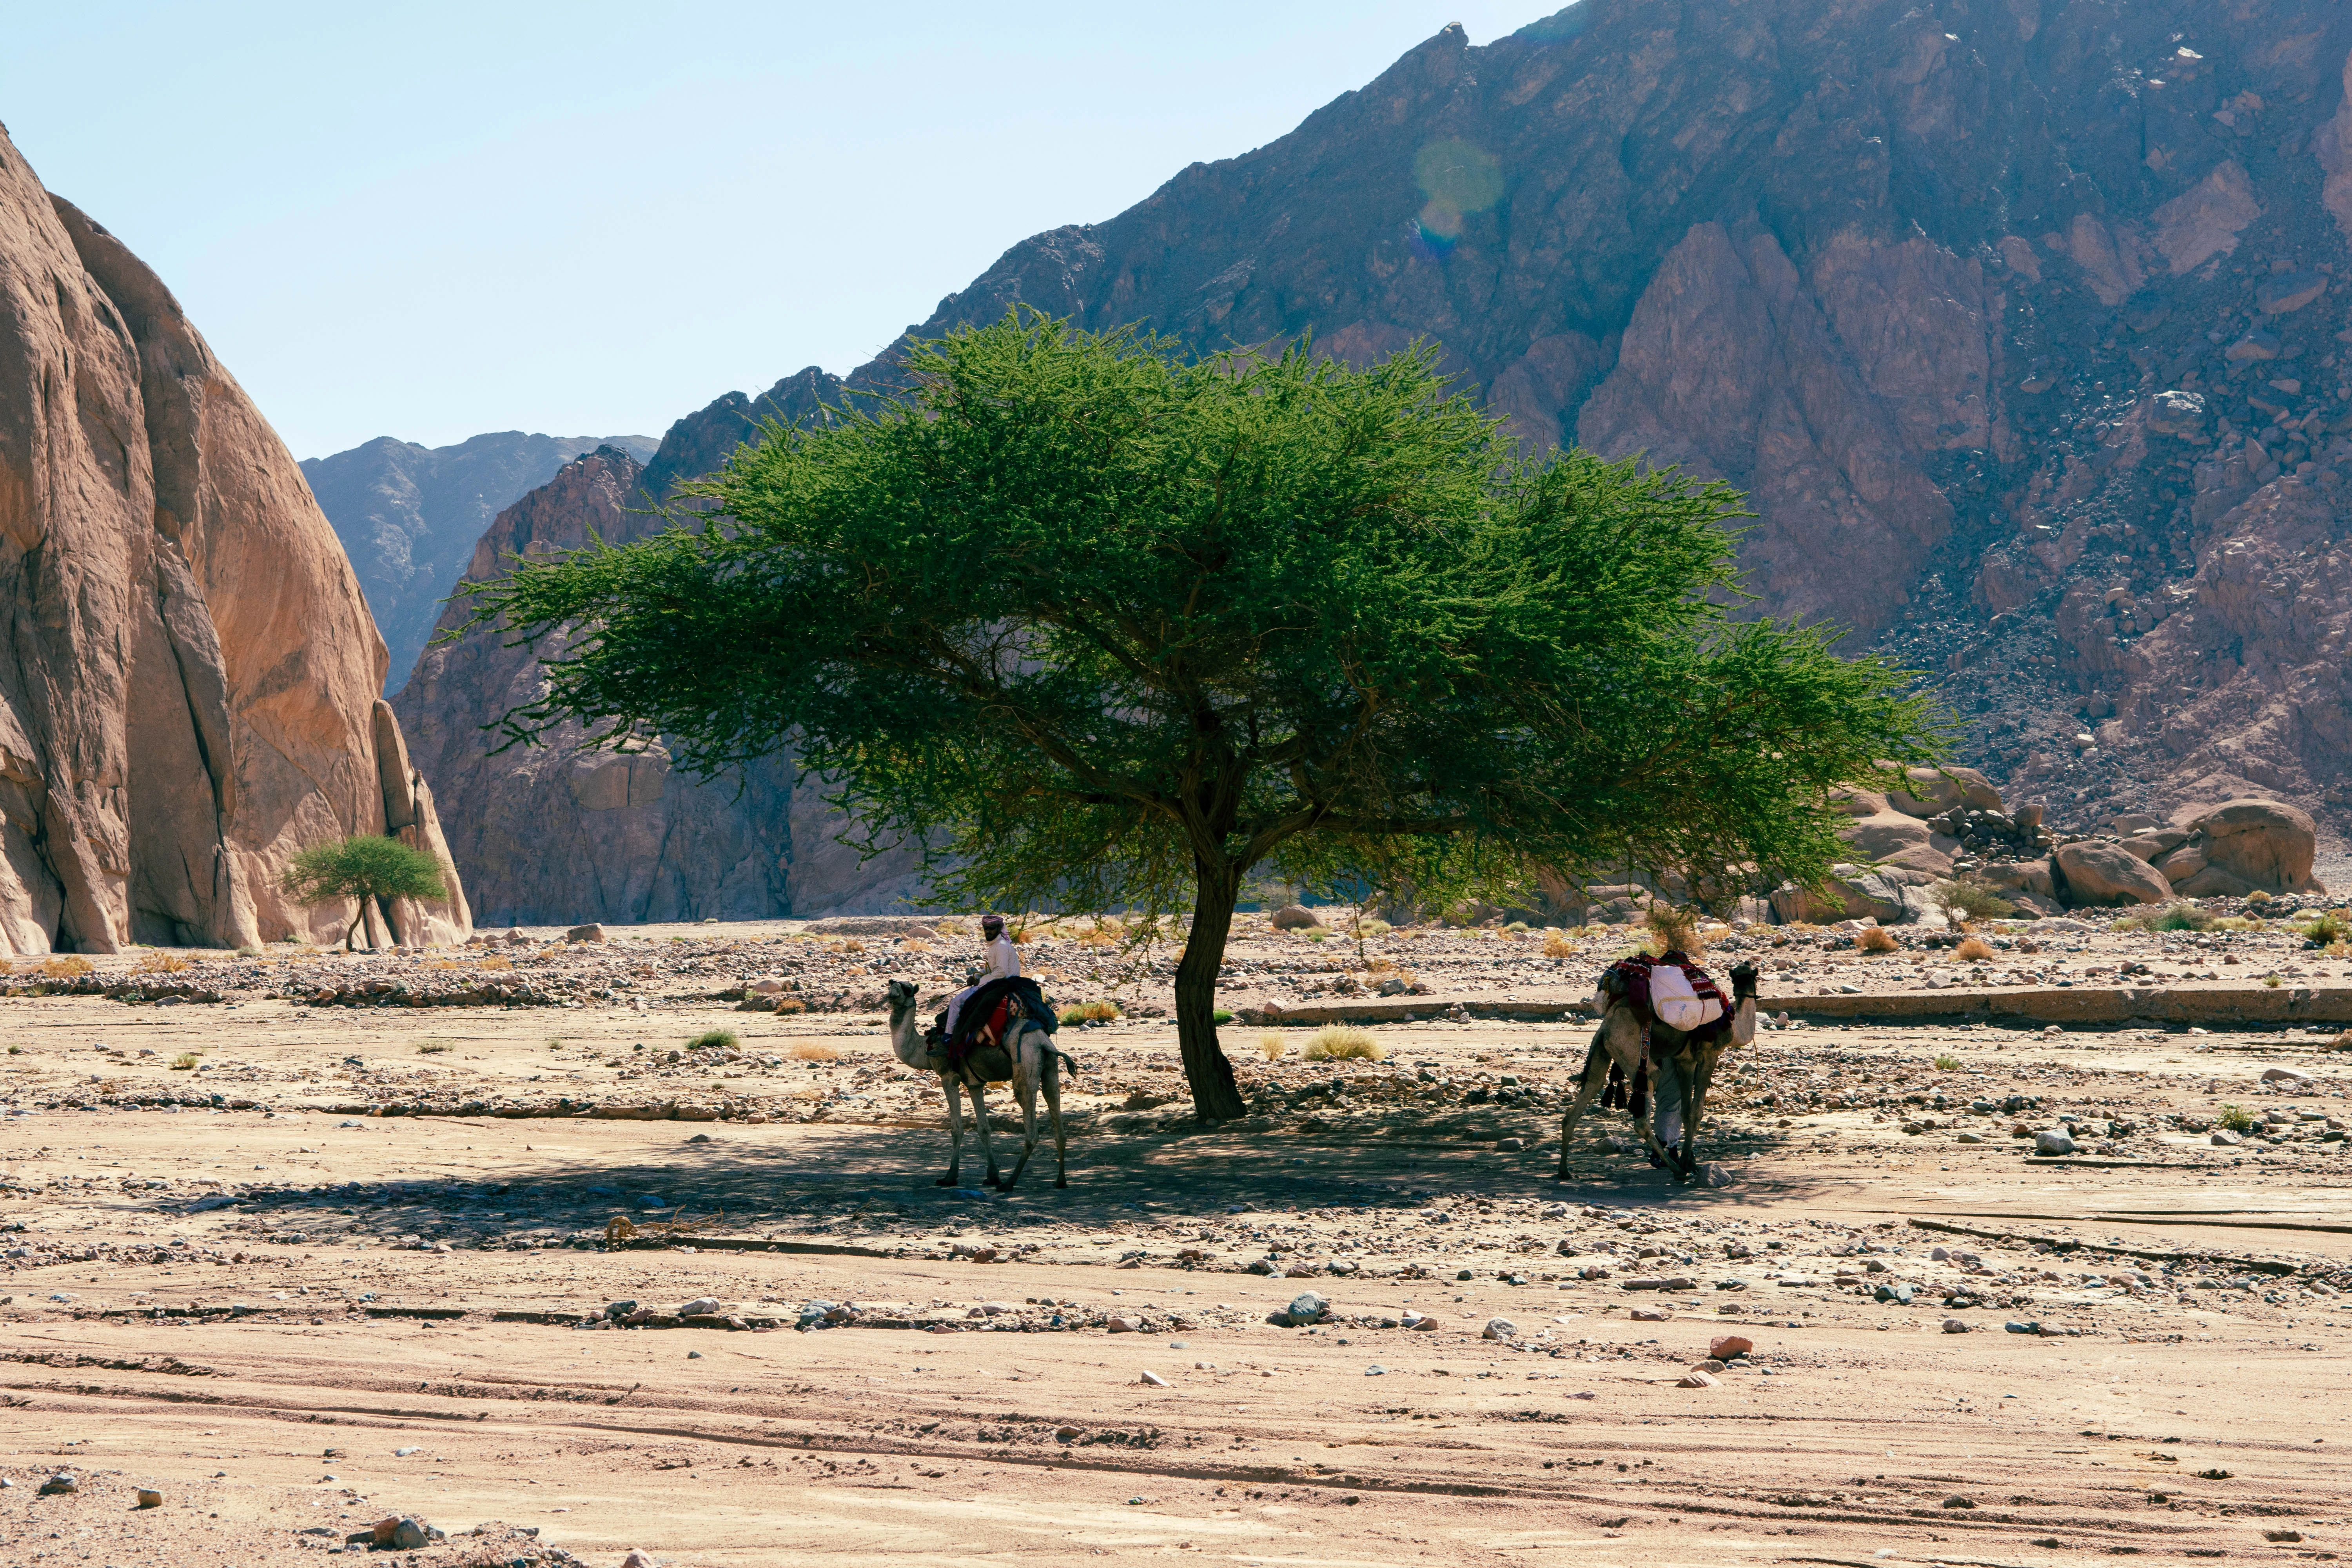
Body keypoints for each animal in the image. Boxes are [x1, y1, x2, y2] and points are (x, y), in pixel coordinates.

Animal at [884, 978, 1073, 1190]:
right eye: (892, 984)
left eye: (907, 988)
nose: (892, 991)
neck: (924, 1048)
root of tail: (1042, 1042)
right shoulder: (975, 1084)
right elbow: (984, 1128)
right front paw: (992, 1176)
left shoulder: (949, 1077)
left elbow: (957, 1128)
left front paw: (950, 1177)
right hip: (1050, 1068)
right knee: (1055, 1109)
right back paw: (1060, 1180)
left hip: (1025, 1060)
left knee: (1031, 1125)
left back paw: (1010, 1182)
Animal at [1556, 959, 1759, 1184]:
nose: (1747, 963)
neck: (1734, 1025)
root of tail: (1606, 1028)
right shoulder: (1709, 1055)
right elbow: (1696, 1112)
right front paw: (1687, 1164)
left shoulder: (1685, 1061)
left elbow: (1686, 1112)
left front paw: (1690, 1162)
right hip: (1635, 1055)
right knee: (1642, 1115)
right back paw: (1676, 1171)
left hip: (1602, 1052)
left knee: (1588, 1092)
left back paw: (1565, 1171)